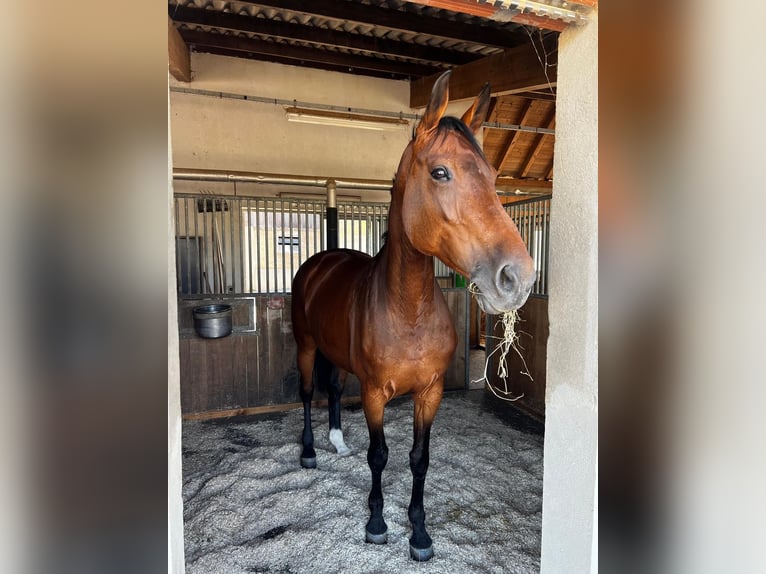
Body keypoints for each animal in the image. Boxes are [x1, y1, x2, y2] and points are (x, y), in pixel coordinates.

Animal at [290, 70, 536, 561]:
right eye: (440, 172)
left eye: (492, 175)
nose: (517, 277)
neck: (408, 312)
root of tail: (321, 261)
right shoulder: (374, 393)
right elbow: (380, 455)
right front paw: (376, 523)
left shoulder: (430, 392)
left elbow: (419, 459)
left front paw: (419, 532)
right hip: (305, 345)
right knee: (308, 392)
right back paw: (309, 451)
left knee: (332, 390)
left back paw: (336, 441)